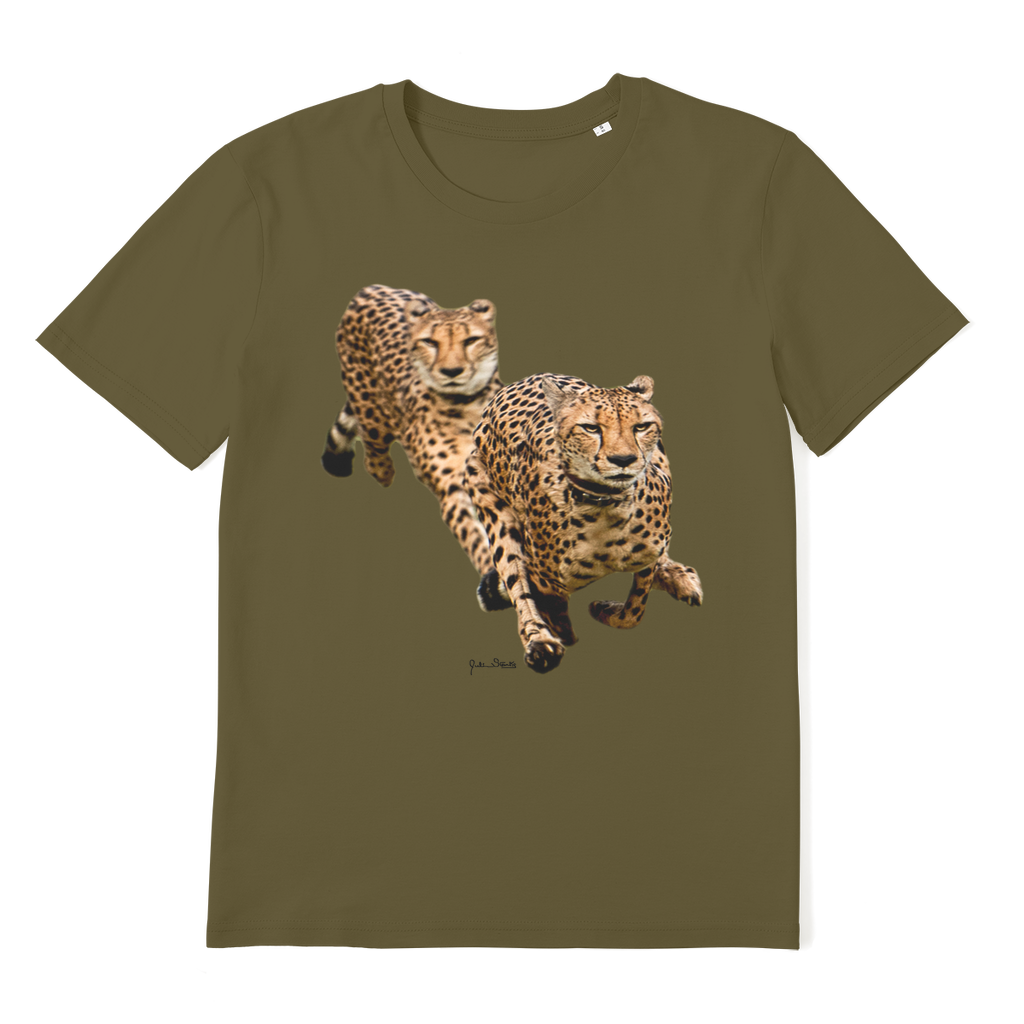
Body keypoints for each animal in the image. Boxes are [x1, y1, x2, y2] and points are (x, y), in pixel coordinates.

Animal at [321, 284, 503, 583]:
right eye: (430, 342)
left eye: (471, 340)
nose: (451, 371)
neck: (467, 404)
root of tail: (371, 288)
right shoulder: (452, 488)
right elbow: (475, 535)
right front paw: (492, 574)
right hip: (372, 414)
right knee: (374, 453)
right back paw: (382, 470)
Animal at [464, 372, 702, 673]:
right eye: (590, 428)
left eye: (641, 427)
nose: (623, 460)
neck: (605, 505)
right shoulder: (546, 578)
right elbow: (544, 599)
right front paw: (560, 632)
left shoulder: (649, 552)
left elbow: (634, 610)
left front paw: (604, 609)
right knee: (517, 580)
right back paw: (540, 642)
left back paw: (679, 576)